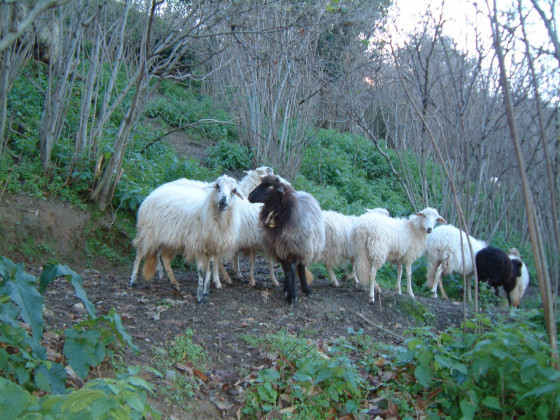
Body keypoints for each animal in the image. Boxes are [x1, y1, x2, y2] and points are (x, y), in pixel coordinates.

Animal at [132, 174, 246, 302]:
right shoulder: (198, 245)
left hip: (169, 239)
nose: (223, 202)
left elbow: (210, 267)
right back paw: (133, 281)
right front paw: (200, 296)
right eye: (217, 187)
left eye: (233, 191)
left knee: (164, 258)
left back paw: (174, 284)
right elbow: (201, 271)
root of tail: (154, 192)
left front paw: (206, 292)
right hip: (147, 232)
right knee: (139, 253)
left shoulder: (212, 246)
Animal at [248, 176, 326, 304]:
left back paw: (306, 290)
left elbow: (293, 267)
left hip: (306, 247)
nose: (250, 196)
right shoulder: (278, 249)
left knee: (301, 266)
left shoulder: (296, 248)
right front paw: (288, 290)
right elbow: (286, 270)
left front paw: (293, 295)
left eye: (271, 187)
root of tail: (304, 193)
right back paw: (287, 287)